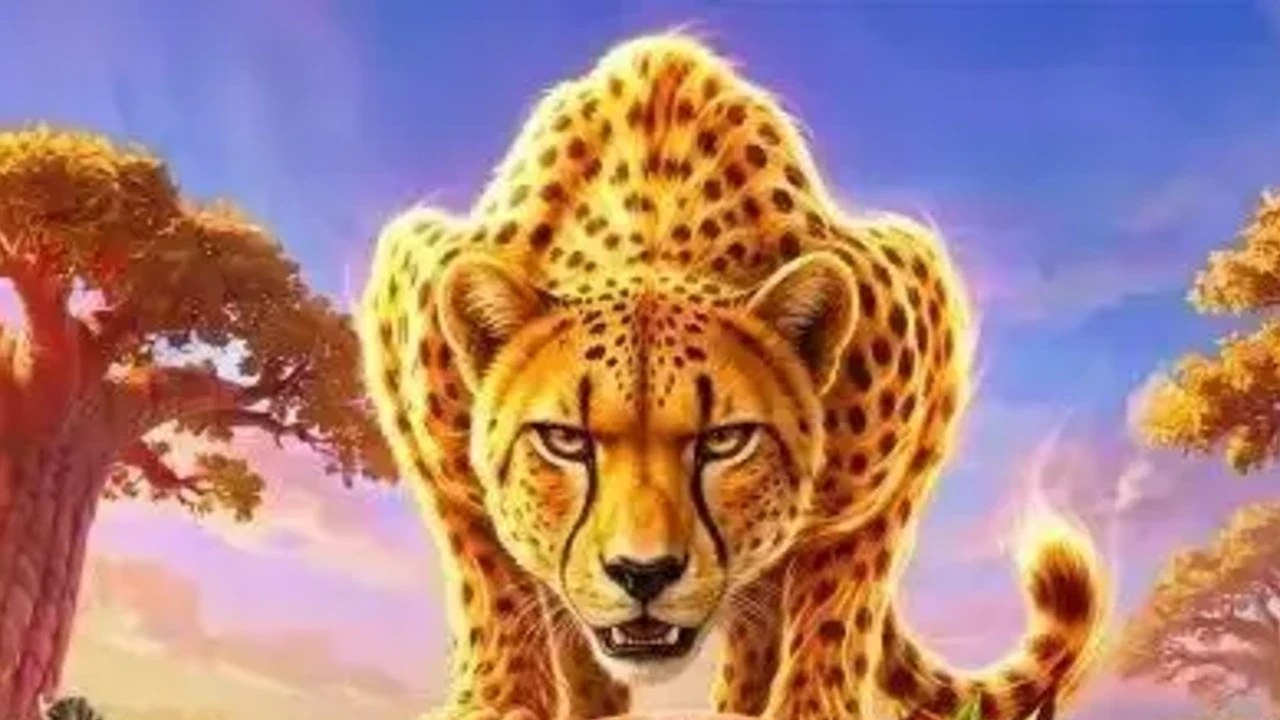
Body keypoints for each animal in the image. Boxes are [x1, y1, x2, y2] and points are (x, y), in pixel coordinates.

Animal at [359, 31, 1108, 720]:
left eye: (726, 441)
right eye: (564, 441)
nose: (643, 573)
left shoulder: (919, 315)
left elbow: (839, 608)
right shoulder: (407, 298)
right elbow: (487, 572)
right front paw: (501, 695)